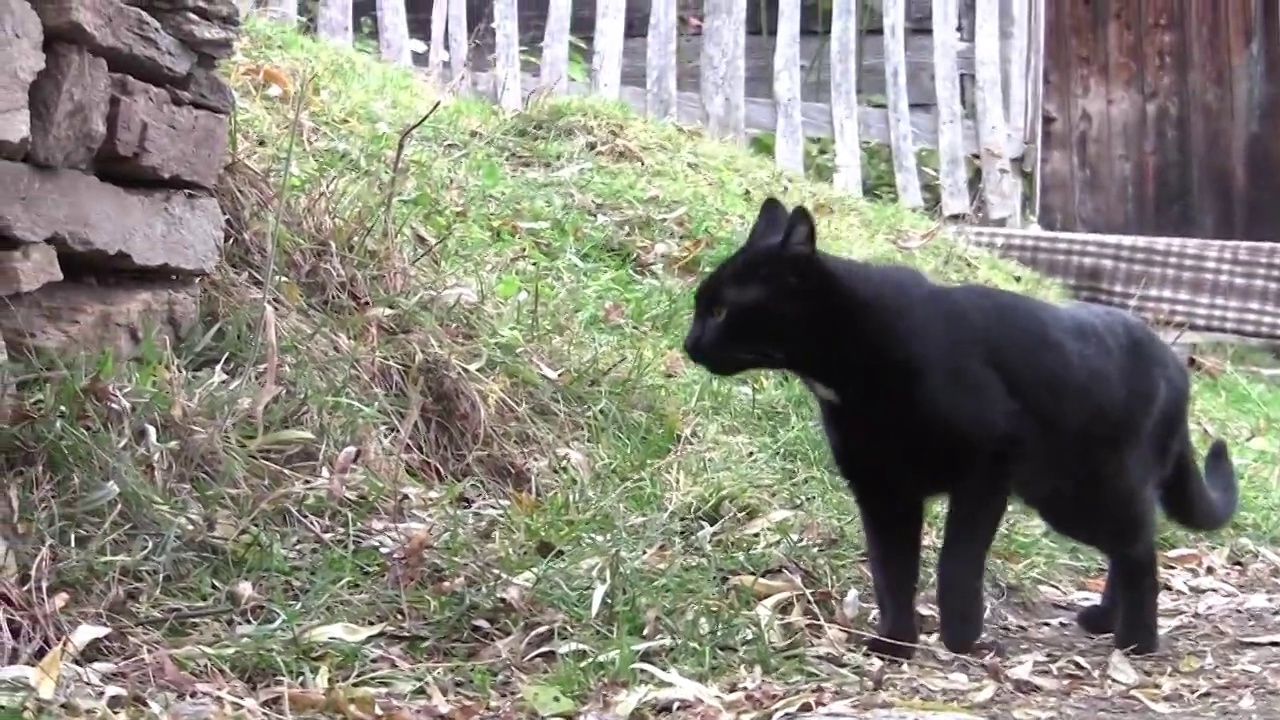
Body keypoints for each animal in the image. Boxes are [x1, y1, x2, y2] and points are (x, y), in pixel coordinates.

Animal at [686, 196, 1233, 655]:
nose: (689, 343)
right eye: (700, 307)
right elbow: (891, 570)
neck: (852, 360)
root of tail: (1175, 364)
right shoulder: (883, 491)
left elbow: (957, 563)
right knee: (1129, 542)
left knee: (1139, 546)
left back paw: (1137, 640)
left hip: (1084, 489)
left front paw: (962, 639)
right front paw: (896, 642)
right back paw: (1103, 620)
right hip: (1064, 493)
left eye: (720, 310)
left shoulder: (984, 470)